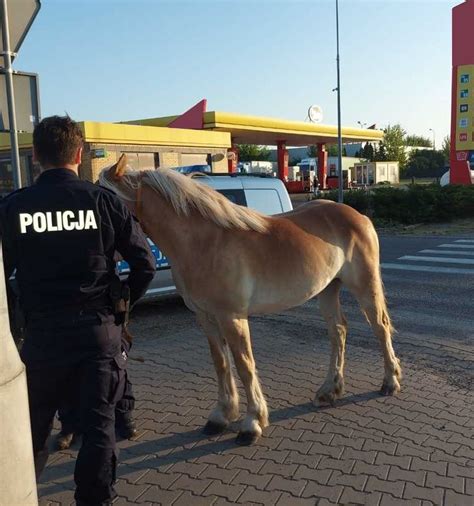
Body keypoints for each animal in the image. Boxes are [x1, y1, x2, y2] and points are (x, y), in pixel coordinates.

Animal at [99, 156, 400, 444]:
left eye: (106, 200)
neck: (203, 243)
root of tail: (358, 215)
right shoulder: (206, 318)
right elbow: (221, 364)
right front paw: (221, 416)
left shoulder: (232, 317)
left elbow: (244, 365)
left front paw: (252, 423)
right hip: (327, 289)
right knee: (338, 331)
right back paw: (329, 390)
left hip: (365, 286)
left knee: (380, 327)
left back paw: (390, 382)